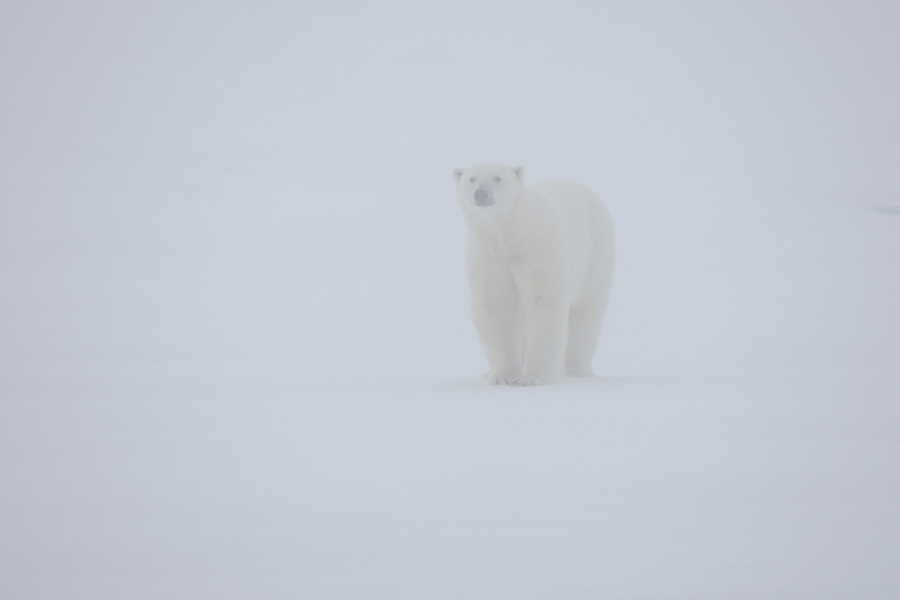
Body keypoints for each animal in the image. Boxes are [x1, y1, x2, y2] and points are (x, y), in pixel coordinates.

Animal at [454, 162, 616, 386]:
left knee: (586, 312)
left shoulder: (538, 249)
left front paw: (533, 378)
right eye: (472, 178)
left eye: (497, 178)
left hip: (595, 256)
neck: (509, 237)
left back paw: (574, 370)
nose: (481, 194)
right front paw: (503, 377)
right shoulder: (488, 257)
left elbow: (542, 299)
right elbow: (496, 305)